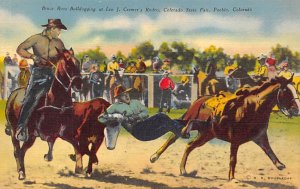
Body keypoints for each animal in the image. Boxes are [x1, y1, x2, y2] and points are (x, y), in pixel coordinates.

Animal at [6, 48, 116, 179]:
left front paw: (81, 166)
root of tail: (13, 94)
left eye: (78, 63)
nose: (79, 83)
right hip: (15, 131)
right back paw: (21, 172)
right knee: (17, 150)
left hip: (31, 137)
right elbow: (81, 148)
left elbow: (79, 147)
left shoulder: (65, 133)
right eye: (68, 65)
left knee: (22, 151)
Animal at [151, 76, 298, 180]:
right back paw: (154, 156)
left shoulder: (260, 136)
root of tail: (199, 99)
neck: (253, 107)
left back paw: (183, 169)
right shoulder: (235, 140)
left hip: (206, 134)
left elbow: (269, 150)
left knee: (189, 145)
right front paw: (232, 178)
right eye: (286, 91)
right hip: (192, 123)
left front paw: (280, 164)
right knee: (174, 136)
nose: (297, 110)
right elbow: (233, 159)